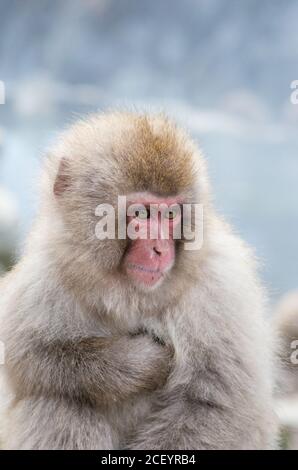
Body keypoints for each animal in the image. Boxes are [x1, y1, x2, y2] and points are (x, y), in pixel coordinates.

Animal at [0, 110, 278, 448]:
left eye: (171, 215)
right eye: (142, 214)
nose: (160, 249)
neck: (130, 294)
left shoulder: (223, 284)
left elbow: (213, 405)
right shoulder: (49, 268)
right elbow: (27, 353)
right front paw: (141, 362)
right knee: (55, 398)